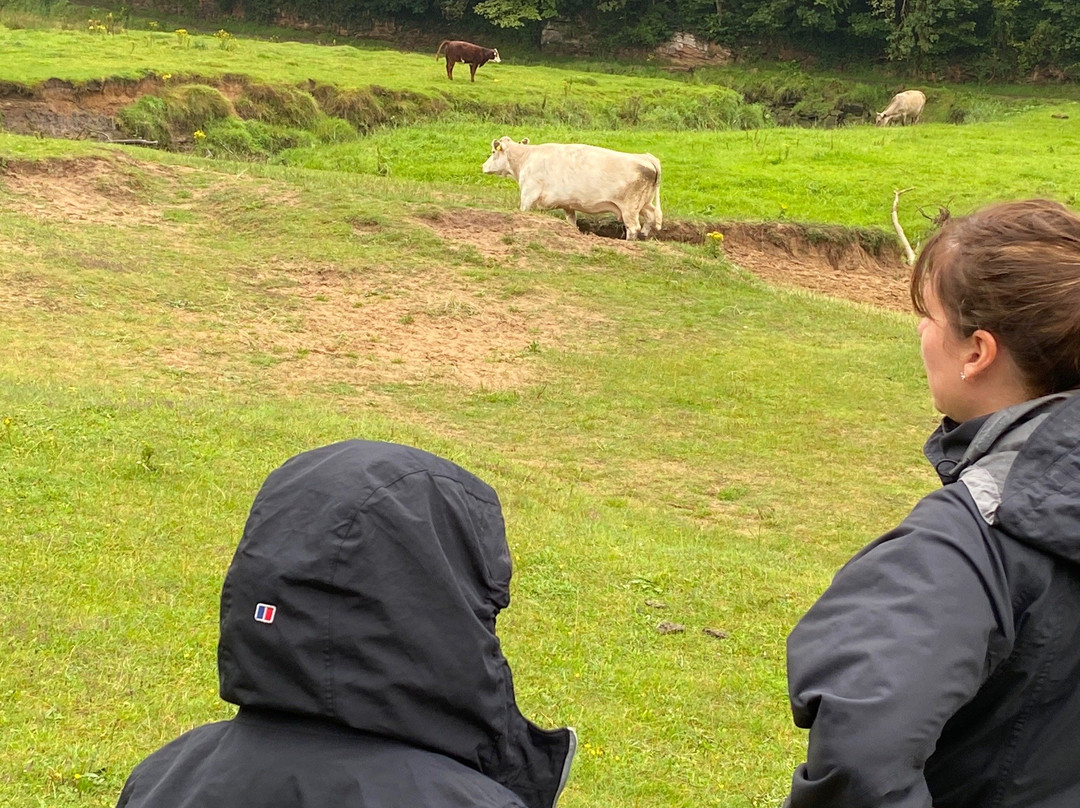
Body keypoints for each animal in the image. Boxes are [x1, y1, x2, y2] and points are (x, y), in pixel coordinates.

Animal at [483, 136, 665, 239]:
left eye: (493, 151)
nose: (483, 166)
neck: (525, 157)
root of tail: (646, 157)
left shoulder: (528, 194)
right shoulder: (568, 205)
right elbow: (571, 222)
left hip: (630, 208)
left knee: (633, 227)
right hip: (644, 203)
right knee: (651, 217)